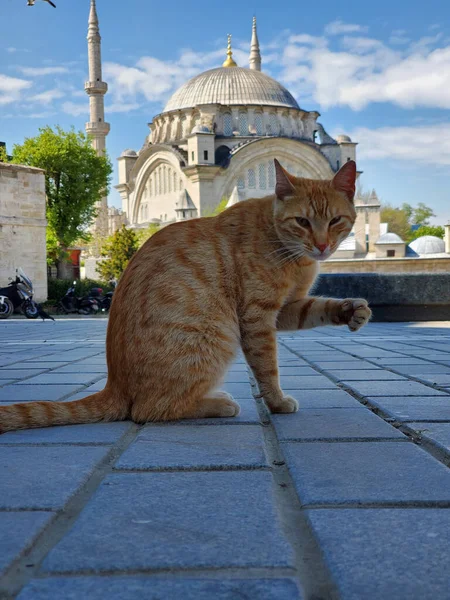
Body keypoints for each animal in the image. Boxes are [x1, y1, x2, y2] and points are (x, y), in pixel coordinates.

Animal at [0, 159, 370, 432]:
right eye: (302, 221)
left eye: (336, 220)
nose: (322, 246)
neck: (291, 253)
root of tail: (114, 385)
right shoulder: (257, 317)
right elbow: (268, 367)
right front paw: (277, 403)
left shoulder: (287, 308)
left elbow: (318, 308)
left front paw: (352, 310)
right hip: (216, 337)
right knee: (149, 410)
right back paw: (219, 404)